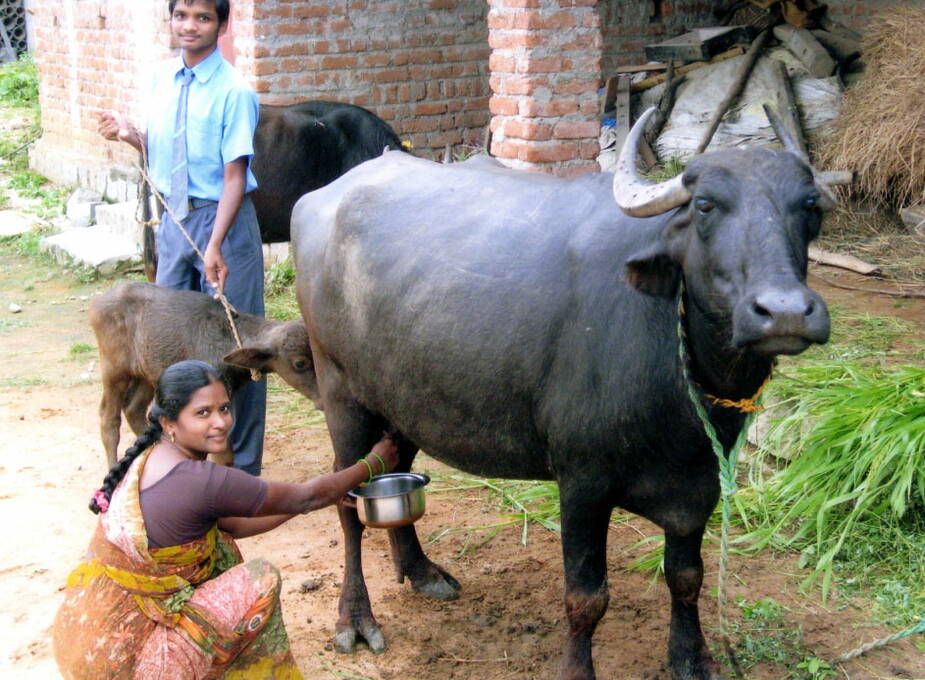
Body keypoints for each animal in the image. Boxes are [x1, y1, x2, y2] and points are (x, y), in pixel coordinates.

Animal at [288, 109, 832, 676]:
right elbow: (586, 598)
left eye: (810, 207)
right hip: (342, 394)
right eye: (705, 205)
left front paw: (691, 656)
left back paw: (421, 571)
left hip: (406, 403)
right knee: (347, 506)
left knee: (391, 474)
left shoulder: (701, 483)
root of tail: (320, 198)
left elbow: (687, 578)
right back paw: (355, 619)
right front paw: (578, 668)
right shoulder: (582, 482)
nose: (785, 312)